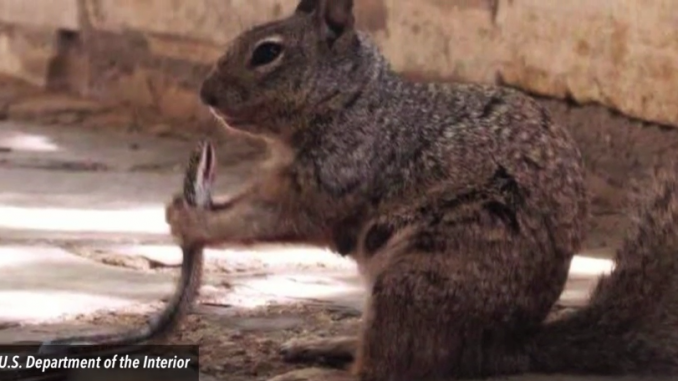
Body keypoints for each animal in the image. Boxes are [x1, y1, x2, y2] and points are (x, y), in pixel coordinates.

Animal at [165, 0, 678, 378]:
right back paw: (329, 343)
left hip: (416, 282)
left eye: (267, 53)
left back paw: (315, 371)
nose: (206, 95)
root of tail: (505, 347)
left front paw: (190, 219)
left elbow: (268, 217)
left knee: (391, 369)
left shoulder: (338, 176)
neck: (353, 103)